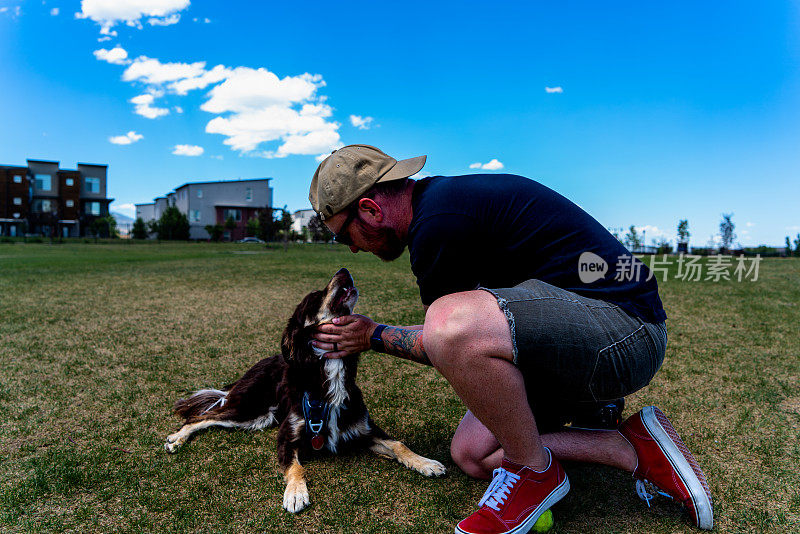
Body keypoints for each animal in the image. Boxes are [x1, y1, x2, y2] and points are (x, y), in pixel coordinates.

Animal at [166, 272, 446, 516]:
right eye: (315, 296)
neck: (328, 376)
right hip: (250, 409)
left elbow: (399, 444)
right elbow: (296, 467)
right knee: (200, 418)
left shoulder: (363, 429)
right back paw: (177, 439)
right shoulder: (286, 438)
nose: (344, 270)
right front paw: (295, 493)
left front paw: (425, 463)